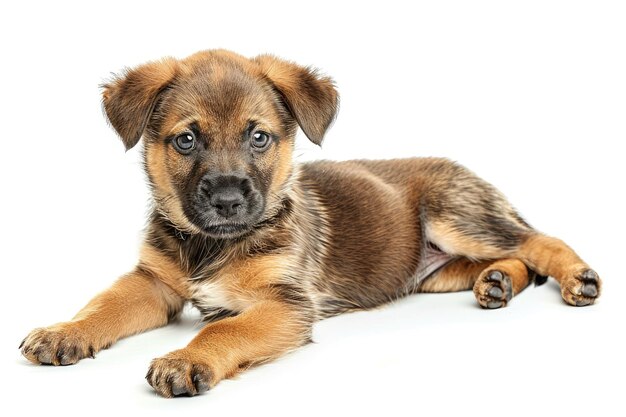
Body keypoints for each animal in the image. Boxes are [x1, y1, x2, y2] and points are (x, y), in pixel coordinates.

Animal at [22, 48, 604, 396]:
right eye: (186, 140)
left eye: (259, 137)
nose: (228, 201)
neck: (211, 246)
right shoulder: (154, 282)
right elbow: (102, 305)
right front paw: (64, 332)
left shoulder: (285, 304)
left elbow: (223, 329)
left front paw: (187, 359)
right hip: (436, 270)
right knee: (510, 256)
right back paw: (497, 281)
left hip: (455, 215)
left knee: (537, 239)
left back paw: (576, 277)